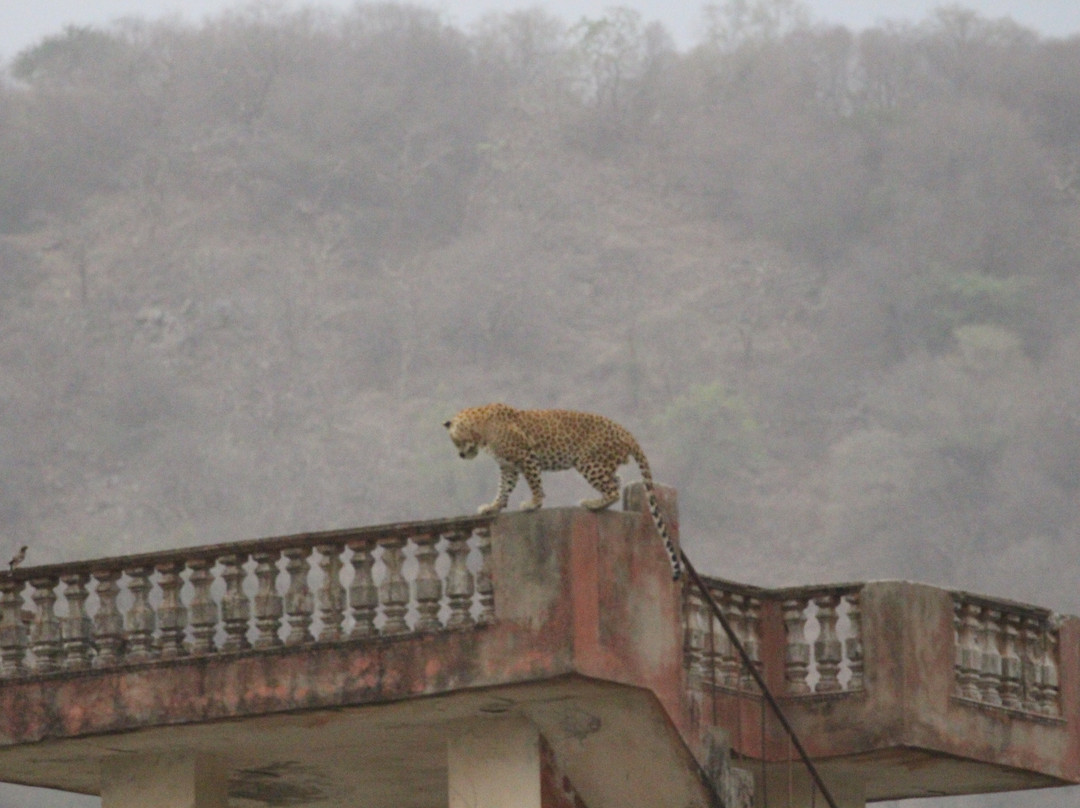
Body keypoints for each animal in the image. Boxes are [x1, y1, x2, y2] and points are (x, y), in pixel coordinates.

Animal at [443, 403, 682, 580]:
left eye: (455, 441)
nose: (461, 455)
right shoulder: (508, 466)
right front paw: (493, 507)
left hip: (587, 461)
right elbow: (503, 489)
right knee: (617, 480)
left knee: (613, 489)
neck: (481, 430)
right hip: (603, 464)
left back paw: (592, 503)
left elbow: (534, 482)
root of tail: (626, 432)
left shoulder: (525, 456)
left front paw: (534, 503)